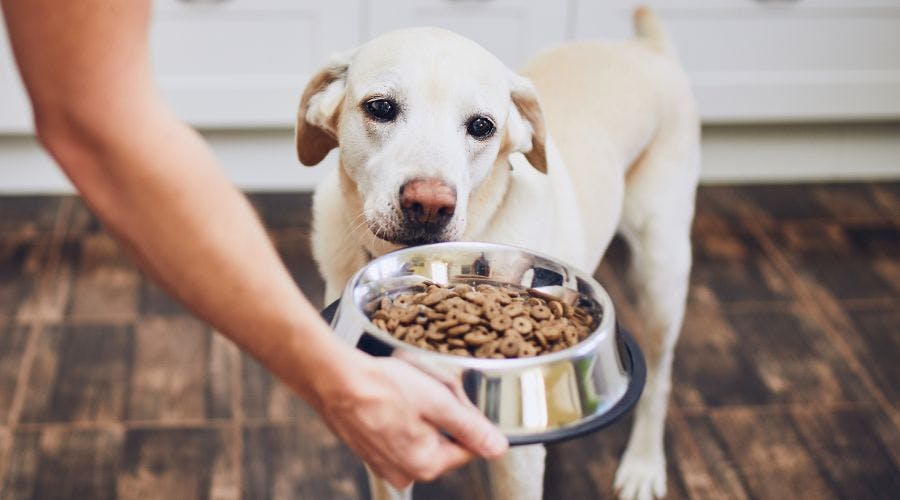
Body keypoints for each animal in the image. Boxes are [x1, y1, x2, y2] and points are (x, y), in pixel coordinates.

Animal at [298, 4, 704, 500]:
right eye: (380, 107)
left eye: (481, 126)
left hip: (660, 272)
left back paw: (643, 465)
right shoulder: (385, 435)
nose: (429, 204)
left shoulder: (517, 460)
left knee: (661, 379)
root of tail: (647, 48)